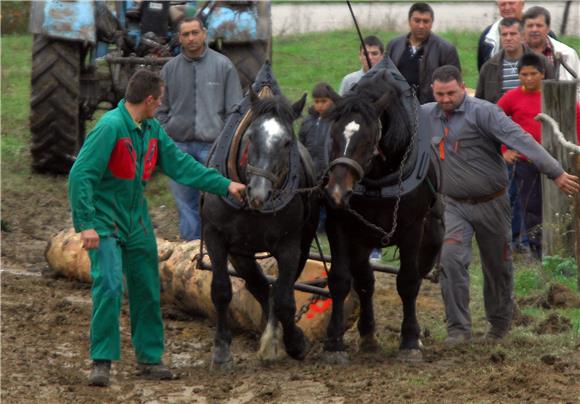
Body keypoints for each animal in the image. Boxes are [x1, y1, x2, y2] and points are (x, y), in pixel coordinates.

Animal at [198, 87, 318, 368]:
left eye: (287, 142)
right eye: (251, 136)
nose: (258, 193)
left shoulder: (290, 245)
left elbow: (285, 298)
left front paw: (293, 342)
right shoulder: (215, 236)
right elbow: (221, 290)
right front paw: (221, 349)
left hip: (302, 245)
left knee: (277, 289)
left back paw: (275, 335)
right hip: (240, 253)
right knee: (260, 286)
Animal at [322, 66, 444, 362]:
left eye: (367, 139)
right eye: (333, 135)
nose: (336, 193)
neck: (377, 178)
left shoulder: (412, 229)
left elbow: (408, 281)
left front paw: (410, 340)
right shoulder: (339, 225)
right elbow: (341, 280)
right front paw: (334, 342)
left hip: (429, 238)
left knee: (418, 271)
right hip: (361, 241)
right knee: (365, 279)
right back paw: (367, 335)